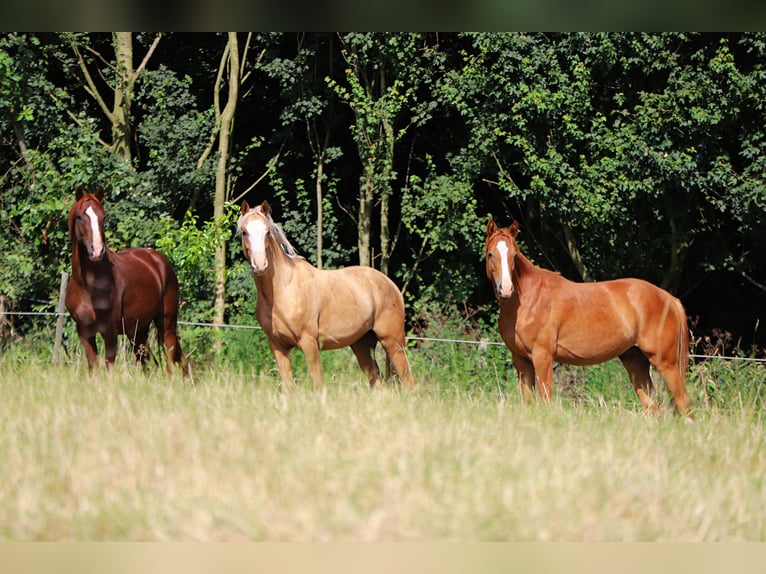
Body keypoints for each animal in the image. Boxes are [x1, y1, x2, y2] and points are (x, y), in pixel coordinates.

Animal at [66, 189, 189, 378]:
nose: (97, 250)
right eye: (80, 216)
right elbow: (93, 367)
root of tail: (159, 261)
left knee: (170, 361)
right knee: (150, 363)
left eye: (103, 217)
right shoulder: (85, 332)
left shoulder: (109, 333)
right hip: (137, 331)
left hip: (166, 323)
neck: (87, 286)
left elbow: (109, 367)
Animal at [238, 199, 414, 392]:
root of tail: (392, 285)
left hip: (393, 343)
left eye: (267, 232)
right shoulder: (278, 346)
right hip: (362, 345)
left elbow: (317, 384)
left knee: (410, 382)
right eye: (245, 231)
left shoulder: (309, 343)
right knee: (378, 382)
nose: (260, 264)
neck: (282, 291)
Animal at [486, 217, 696, 418]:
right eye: (490, 254)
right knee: (653, 407)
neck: (528, 299)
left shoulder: (542, 357)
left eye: (514, 256)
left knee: (684, 404)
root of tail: (670, 299)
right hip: (635, 362)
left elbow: (546, 401)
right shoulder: (521, 360)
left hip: (667, 364)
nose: (506, 289)